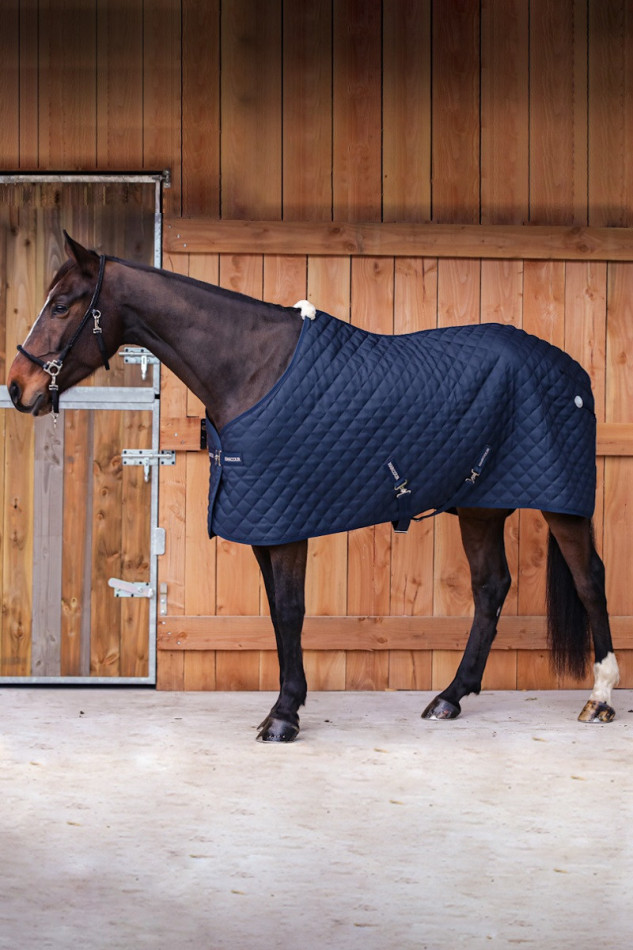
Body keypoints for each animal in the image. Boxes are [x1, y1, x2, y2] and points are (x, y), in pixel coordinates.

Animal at [8, 234, 620, 741]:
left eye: (61, 305)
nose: (17, 388)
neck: (253, 370)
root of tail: (573, 370)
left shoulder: (285, 523)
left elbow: (289, 610)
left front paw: (283, 716)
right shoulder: (261, 522)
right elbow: (279, 614)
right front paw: (287, 706)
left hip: (561, 505)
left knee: (590, 579)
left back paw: (599, 698)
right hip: (479, 505)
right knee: (491, 588)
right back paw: (450, 697)